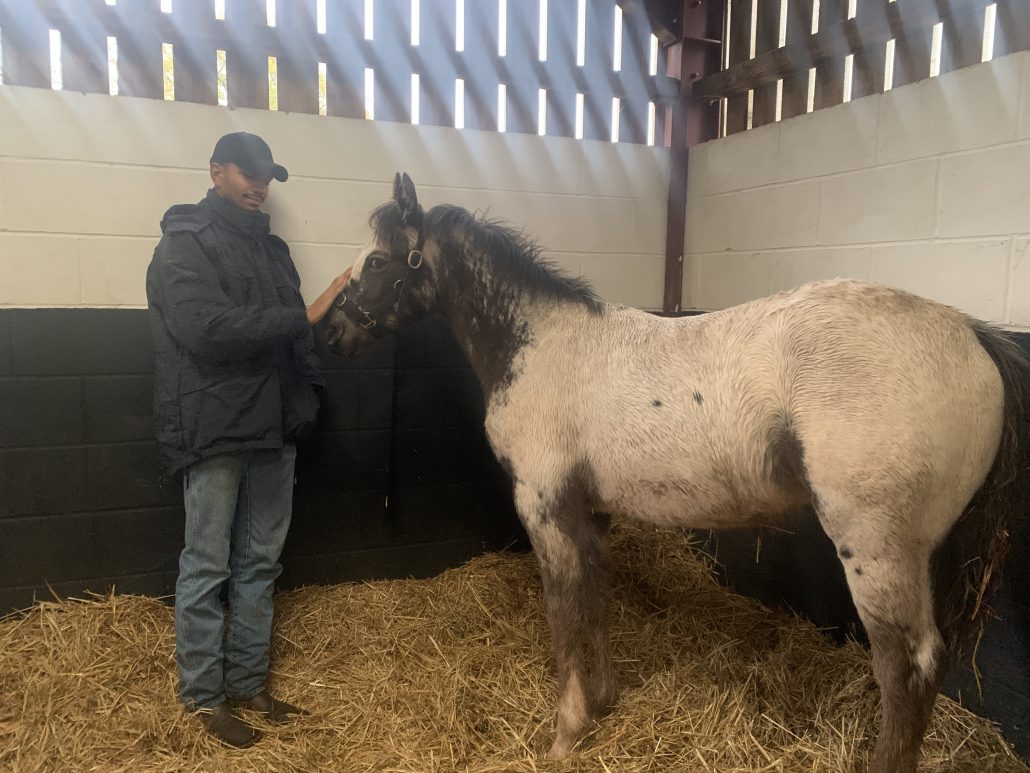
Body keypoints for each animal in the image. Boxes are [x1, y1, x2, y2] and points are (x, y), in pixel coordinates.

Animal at [325, 173, 1029, 772]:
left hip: (876, 548)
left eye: (380, 261)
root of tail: (971, 333)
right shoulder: (590, 512)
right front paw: (602, 704)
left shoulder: (545, 507)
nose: (332, 334)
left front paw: (565, 733)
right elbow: (595, 601)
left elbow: (563, 612)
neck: (541, 346)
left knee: (907, 667)